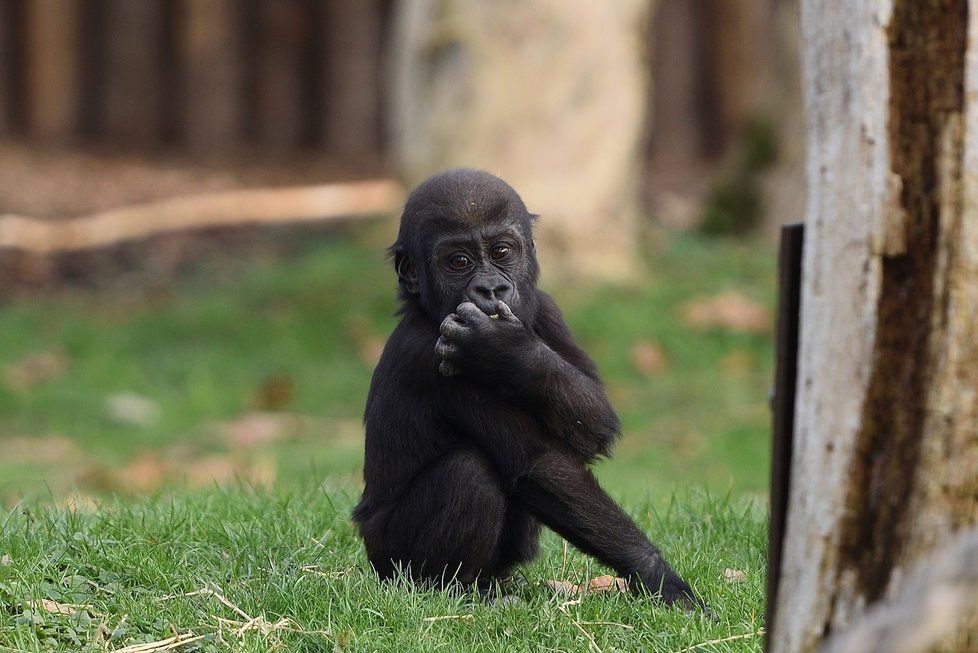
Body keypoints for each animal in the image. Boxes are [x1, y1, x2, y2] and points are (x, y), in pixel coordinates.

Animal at [354, 168, 696, 608]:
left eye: (502, 252)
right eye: (459, 261)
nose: (490, 290)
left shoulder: (546, 307)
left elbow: (594, 417)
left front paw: (504, 350)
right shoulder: (427, 355)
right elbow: (537, 463)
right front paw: (655, 574)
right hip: (390, 564)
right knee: (469, 472)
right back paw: (454, 589)